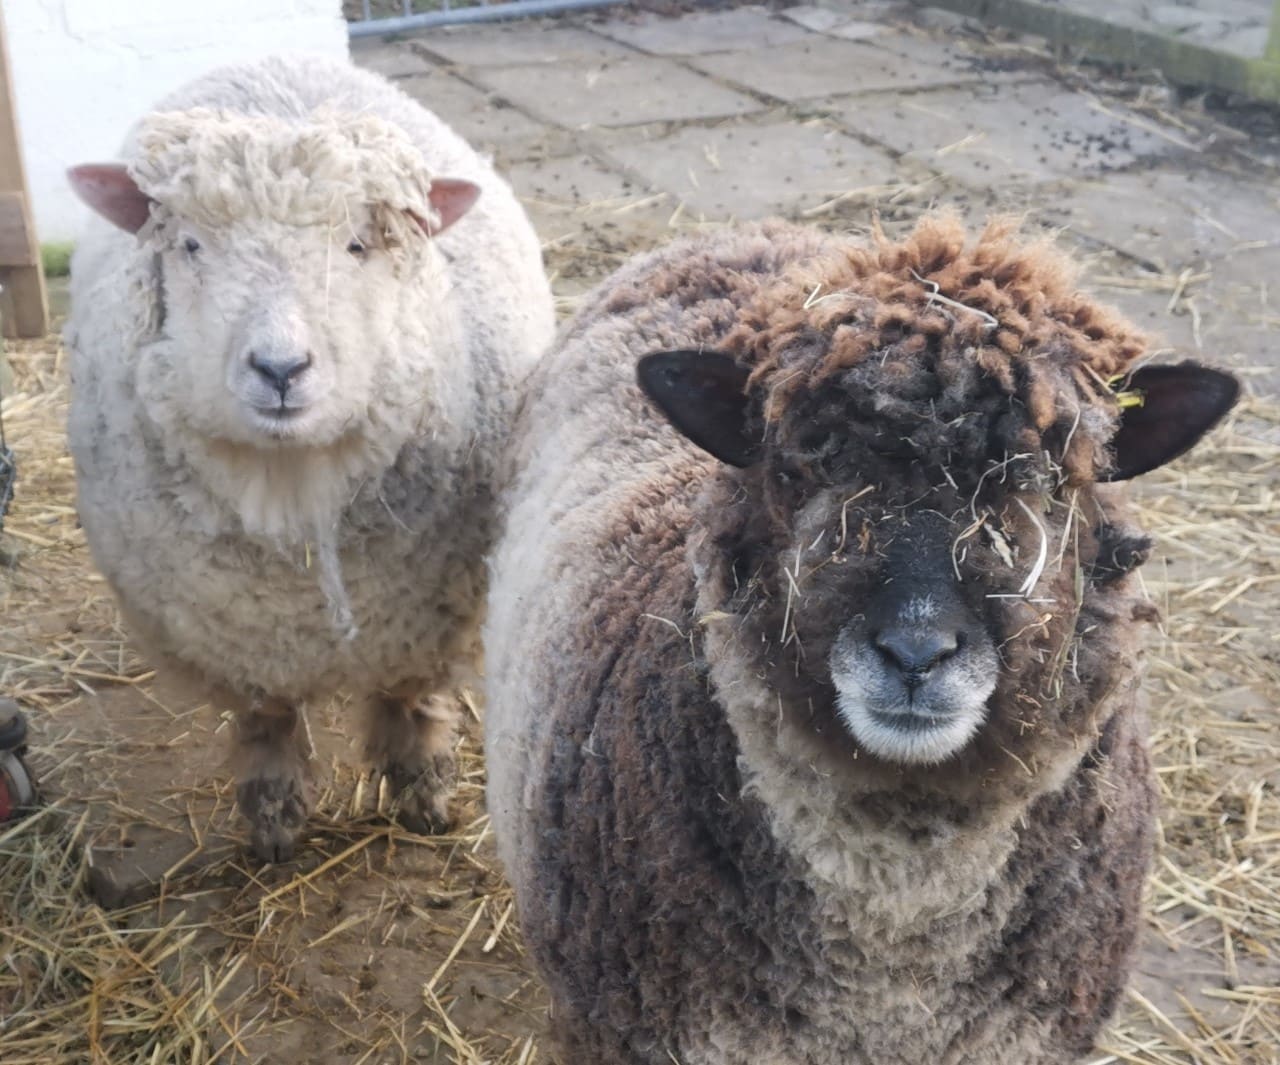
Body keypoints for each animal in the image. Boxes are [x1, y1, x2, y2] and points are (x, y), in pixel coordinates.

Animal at [66, 51, 555, 865]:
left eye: (359, 245)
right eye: (190, 245)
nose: (281, 368)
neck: (291, 486)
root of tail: (271, 56)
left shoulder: (425, 617)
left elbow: (407, 695)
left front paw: (423, 788)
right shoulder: (233, 641)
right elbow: (266, 719)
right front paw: (273, 815)